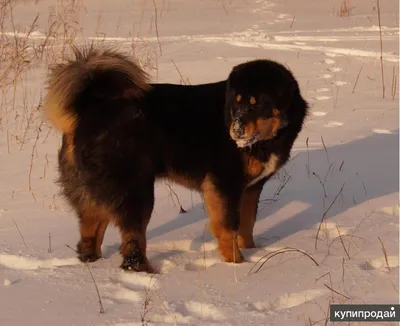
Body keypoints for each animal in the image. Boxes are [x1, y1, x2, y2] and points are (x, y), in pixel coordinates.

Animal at [44, 46, 310, 272]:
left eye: (257, 104)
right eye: (236, 103)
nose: (235, 131)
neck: (267, 138)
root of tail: (91, 106)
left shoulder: (251, 187)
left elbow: (247, 223)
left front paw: (251, 251)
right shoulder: (224, 184)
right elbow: (228, 226)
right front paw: (237, 264)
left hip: (91, 190)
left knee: (90, 230)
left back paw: (91, 263)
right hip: (135, 190)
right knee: (132, 239)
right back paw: (144, 271)